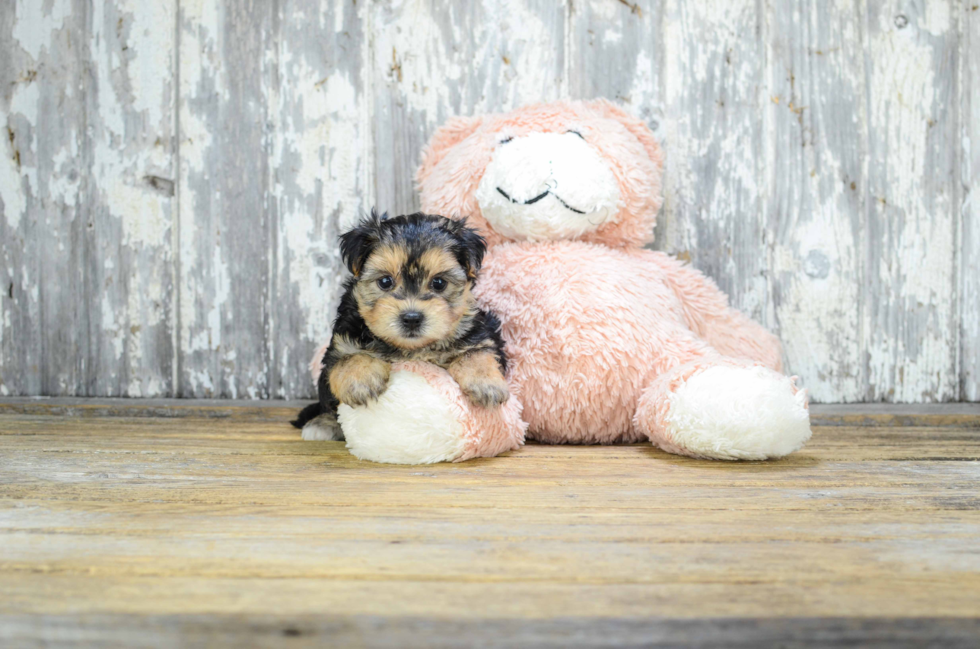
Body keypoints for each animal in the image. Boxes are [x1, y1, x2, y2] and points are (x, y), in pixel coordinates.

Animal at [290, 209, 510, 440]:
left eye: (439, 283)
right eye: (385, 281)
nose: (412, 318)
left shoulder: (480, 331)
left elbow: (478, 351)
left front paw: (486, 383)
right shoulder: (340, 342)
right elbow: (347, 358)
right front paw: (360, 382)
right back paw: (322, 423)